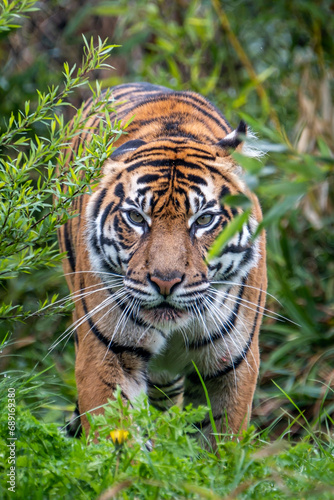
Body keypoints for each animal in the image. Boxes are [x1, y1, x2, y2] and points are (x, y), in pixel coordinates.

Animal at [57, 83, 266, 450]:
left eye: (205, 220)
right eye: (137, 218)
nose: (165, 282)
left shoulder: (231, 363)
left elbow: (221, 442)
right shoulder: (106, 353)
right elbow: (115, 437)